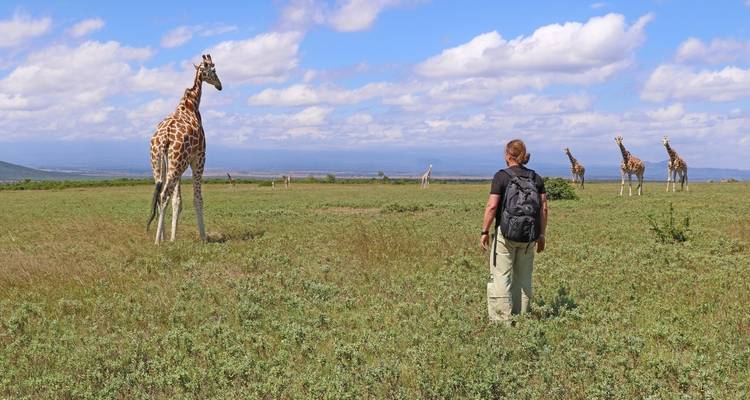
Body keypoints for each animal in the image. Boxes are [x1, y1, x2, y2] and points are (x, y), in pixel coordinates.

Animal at [146, 54, 222, 244]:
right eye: (214, 70)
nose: (220, 85)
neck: (191, 105)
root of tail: (163, 137)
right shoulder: (199, 158)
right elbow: (197, 198)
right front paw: (203, 237)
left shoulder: (181, 164)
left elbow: (178, 201)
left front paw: (172, 238)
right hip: (177, 163)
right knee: (164, 195)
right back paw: (157, 241)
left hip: (159, 163)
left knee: (160, 194)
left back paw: (161, 237)